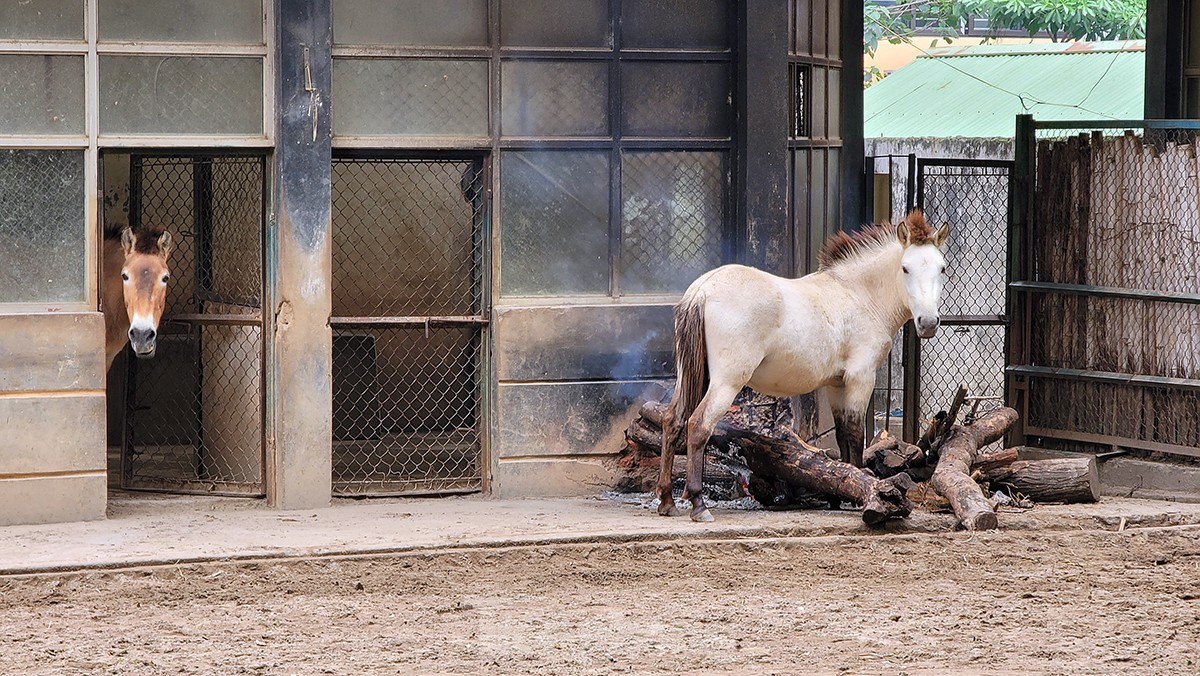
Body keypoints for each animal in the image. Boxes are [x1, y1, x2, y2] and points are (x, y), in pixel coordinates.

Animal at [657, 211, 945, 523]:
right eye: (905, 268)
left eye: (942, 268)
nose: (928, 323)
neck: (858, 295)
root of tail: (702, 290)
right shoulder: (861, 378)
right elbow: (856, 434)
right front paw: (862, 491)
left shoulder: (836, 384)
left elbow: (843, 434)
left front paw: (839, 493)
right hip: (727, 381)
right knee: (698, 425)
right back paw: (699, 504)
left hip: (689, 376)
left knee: (672, 420)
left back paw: (666, 501)